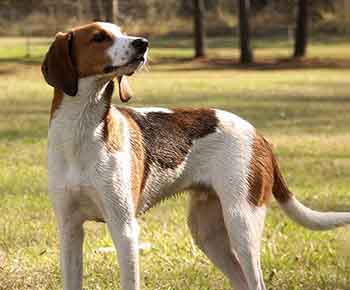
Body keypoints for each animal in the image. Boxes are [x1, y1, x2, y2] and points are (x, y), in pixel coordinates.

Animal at [41, 22, 350, 290]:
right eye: (99, 37)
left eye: (122, 32)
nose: (143, 43)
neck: (81, 132)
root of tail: (259, 135)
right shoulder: (69, 229)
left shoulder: (124, 228)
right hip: (207, 232)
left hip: (241, 223)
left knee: (255, 281)